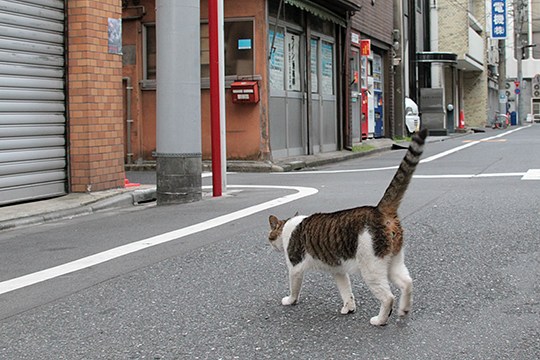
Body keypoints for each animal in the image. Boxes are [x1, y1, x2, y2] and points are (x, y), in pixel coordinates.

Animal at [268, 127, 428, 326]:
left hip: (371, 268)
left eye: (270, 237)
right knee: (407, 283)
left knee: (388, 297)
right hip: (393, 261)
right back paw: (404, 310)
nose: (270, 245)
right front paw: (349, 307)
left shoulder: (295, 266)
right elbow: (346, 290)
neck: (288, 226)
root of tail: (378, 210)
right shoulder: (338, 270)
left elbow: (294, 287)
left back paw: (380, 320)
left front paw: (290, 300)